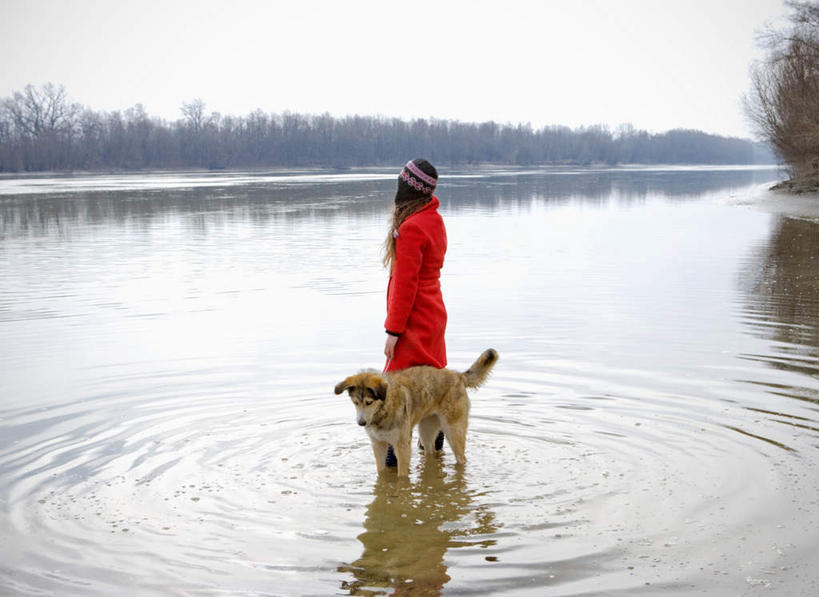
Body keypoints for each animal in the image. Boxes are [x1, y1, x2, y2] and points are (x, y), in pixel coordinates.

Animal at [334, 346, 500, 478]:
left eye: (369, 402)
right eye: (355, 402)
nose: (361, 423)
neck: (384, 409)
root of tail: (458, 376)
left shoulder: (402, 444)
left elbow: (401, 476)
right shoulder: (378, 443)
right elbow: (381, 471)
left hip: (454, 432)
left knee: (461, 458)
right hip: (425, 430)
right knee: (430, 452)